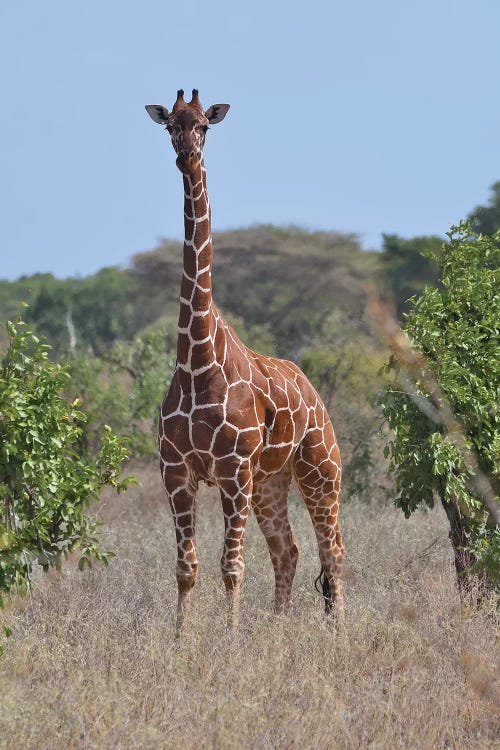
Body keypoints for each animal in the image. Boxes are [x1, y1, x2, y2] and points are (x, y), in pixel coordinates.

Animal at [143, 91, 342, 636]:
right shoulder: (177, 471)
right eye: (169, 125)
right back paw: (277, 631)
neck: (197, 361)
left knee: (333, 551)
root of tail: (312, 390)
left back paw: (338, 633)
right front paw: (180, 640)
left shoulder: (232, 470)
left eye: (205, 127)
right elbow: (187, 567)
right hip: (271, 481)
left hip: (321, 469)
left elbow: (231, 567)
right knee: (288, 550)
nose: (187, 155)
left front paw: (231, 642)